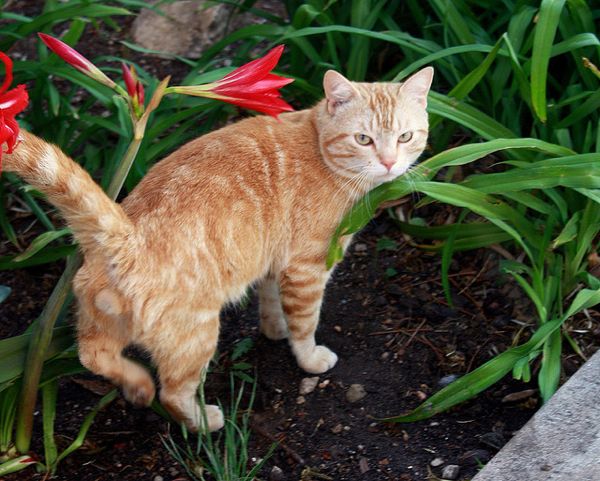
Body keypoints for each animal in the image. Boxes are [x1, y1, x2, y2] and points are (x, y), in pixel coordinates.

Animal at [7, 67, 434, 432]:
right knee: (173, 393)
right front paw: (309, 358)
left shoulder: (274, 263)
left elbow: (271, 302)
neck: (319, 146)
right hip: (196, 334)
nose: (390, 163)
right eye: (363, 139)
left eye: (405, 137)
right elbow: (305, 323)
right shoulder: (306, 268)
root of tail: (125, 234)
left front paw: (274, 329)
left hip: (102, 320)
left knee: (92, 355)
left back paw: (137, 385)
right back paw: (202, 419)